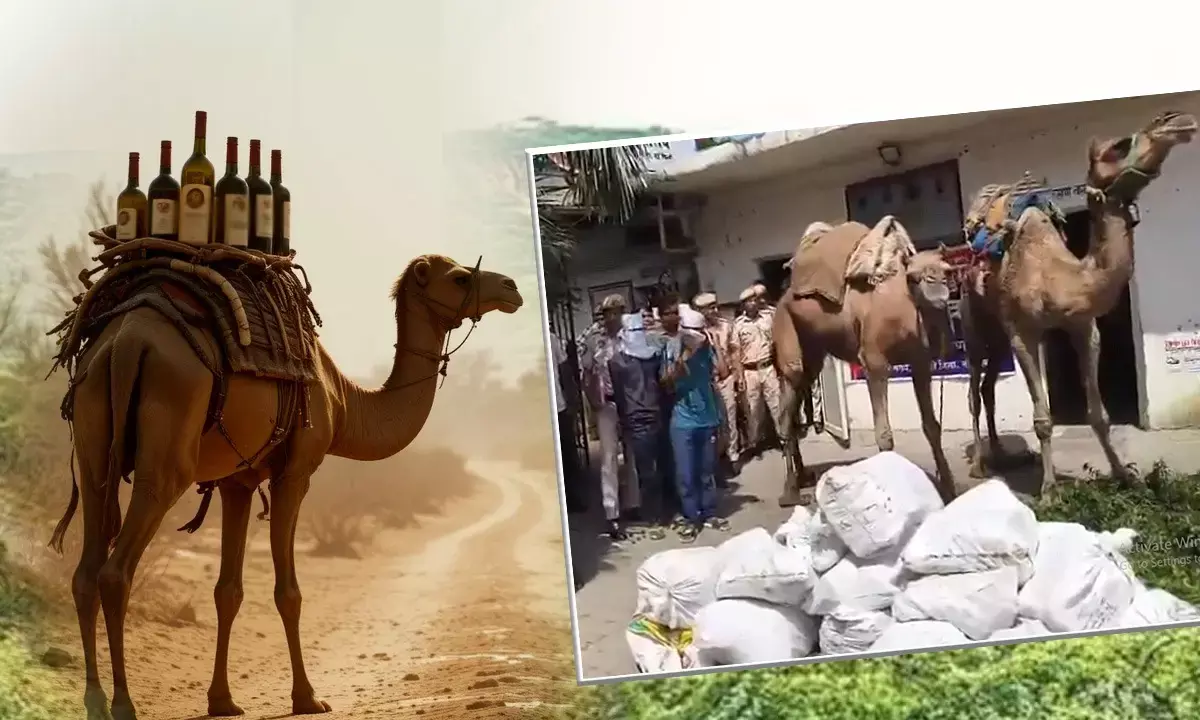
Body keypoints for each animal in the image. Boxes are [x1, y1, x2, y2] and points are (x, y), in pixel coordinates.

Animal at [55, 254, 523, 720]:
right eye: (460, 277)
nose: (512, 288)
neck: (343, 401)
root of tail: (125, 341)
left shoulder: (237, 481)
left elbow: (228, 590)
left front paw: (222, 700)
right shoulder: (296, 472)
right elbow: (289, 592)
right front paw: (307, 696)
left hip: (94, 438)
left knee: (85, 571)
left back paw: (94, 700)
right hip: (169, 445)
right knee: (116, 571)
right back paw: (123, 704)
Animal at [775, 219, 957, 507]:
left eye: (947, 272)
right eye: (914, 277)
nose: (939, 297)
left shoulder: (920, 363)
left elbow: (932, 426)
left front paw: (949, 490)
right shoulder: (873, 362)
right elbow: (884, 434)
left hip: (813, 350)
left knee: (795, 404)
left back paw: (799, 479)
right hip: (786, 329)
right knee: (787, 401)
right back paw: (791, 493)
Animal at [957, 110, 1197, 492]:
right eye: (1118, 147)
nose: (1176, 121)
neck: (1062, 279)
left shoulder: (1084, 327)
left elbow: (1099, 415)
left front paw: (1126, 476)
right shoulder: (1024, 333)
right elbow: (1042, 419)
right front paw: (1049, 489)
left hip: (998, 333)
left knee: (988, 388)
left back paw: (1005, 457)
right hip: (974, 321)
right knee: (973, 393)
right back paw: (981, 464)